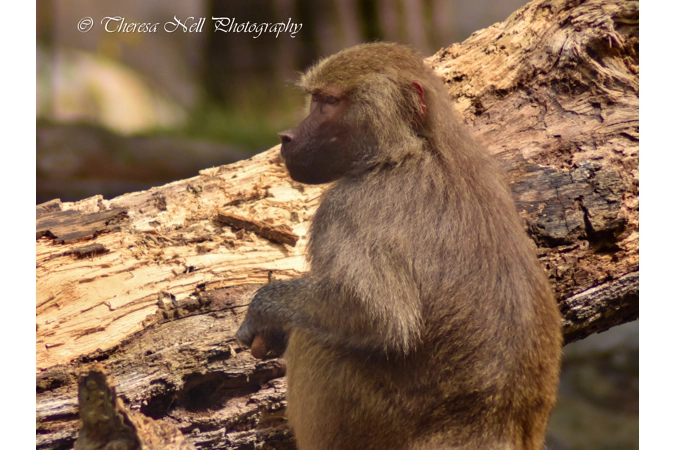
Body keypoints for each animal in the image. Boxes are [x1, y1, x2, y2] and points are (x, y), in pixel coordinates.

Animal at [236, 42, 562, 450]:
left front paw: (264, 312)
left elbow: (379, 316)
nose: (286, 137)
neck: (416, 148)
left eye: (328, 102)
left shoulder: (347, 207)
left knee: (315, 340)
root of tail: (492, 429)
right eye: (315, 100)